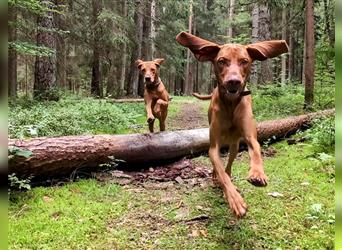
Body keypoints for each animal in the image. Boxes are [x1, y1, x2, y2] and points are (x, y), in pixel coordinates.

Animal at [176, 31, 288, 217]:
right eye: (221, 61)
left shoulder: (250, 136)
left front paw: (258, 173)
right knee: (221, 170)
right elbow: (221, 172)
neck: (230, 104)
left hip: (235, 145)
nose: (233, 81)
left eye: (245, 61)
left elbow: (256, 150)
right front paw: (235, 199)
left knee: (229, 164)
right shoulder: (213, 147)